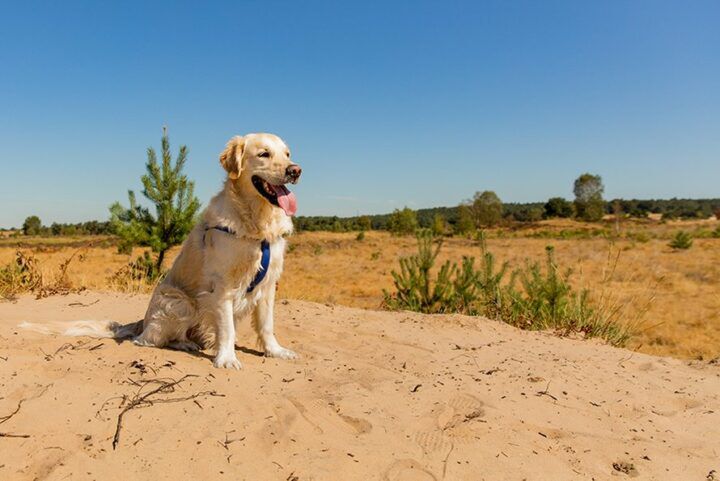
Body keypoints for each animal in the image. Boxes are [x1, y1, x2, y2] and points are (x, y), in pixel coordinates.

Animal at [20, 133, 300, 370]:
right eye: (264, 154)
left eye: (287, 154)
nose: (295, 170)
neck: (257, 223)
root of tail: (142, 323)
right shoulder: (222, 285)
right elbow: (227, 329)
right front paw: (227, 358)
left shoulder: (268, 283)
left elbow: (267, 325)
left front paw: (275, 351)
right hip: (179, 302)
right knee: (149, 340)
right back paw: (184, 343)